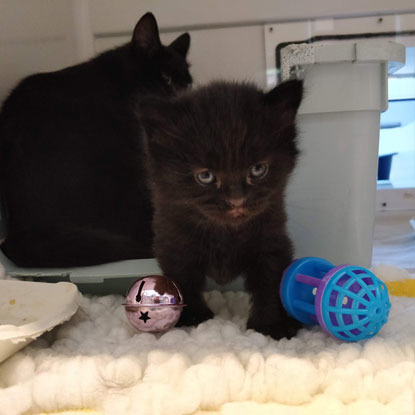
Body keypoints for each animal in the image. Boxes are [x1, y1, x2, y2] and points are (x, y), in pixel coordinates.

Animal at [140, 79, 306, 340]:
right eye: (205, 175)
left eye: (258, 169)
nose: (237, 200)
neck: (224, 233)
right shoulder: (174, 243)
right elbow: (182, 280)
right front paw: (192, 317)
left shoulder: (272, 242)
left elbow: (270, 282)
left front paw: (270, 326)